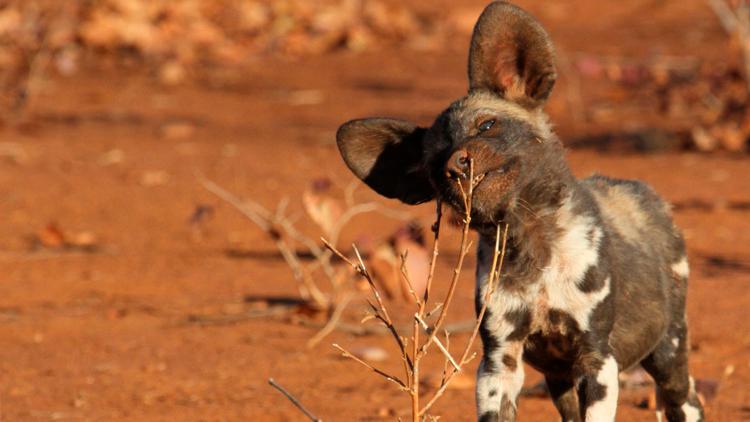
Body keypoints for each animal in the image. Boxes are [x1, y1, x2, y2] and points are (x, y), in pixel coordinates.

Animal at [334, 1, 704, 420]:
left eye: (487, 125)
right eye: (433, 163)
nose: (455, 165)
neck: (531, 243)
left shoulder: (597, 359)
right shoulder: (500, 361)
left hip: (668, 352)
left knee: (685, 399)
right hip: (560, 381)